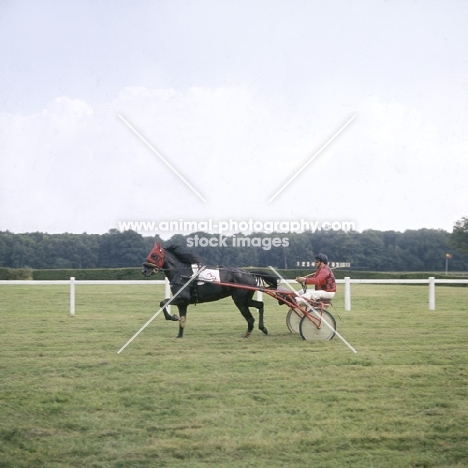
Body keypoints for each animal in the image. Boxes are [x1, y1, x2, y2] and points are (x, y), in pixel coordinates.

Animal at [140, 243, 278, 338]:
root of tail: (248, 273)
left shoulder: (182, 298)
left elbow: (163, 303)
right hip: (245, 299)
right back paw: (263, 328)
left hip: (240, 301)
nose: (144, 271)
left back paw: (248, 333)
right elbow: (182, 319)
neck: (182, 274)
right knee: (260, 305)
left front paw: (173, 317)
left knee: (250, 318)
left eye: (154, 255)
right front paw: (179, 334)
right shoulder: (183, 303)